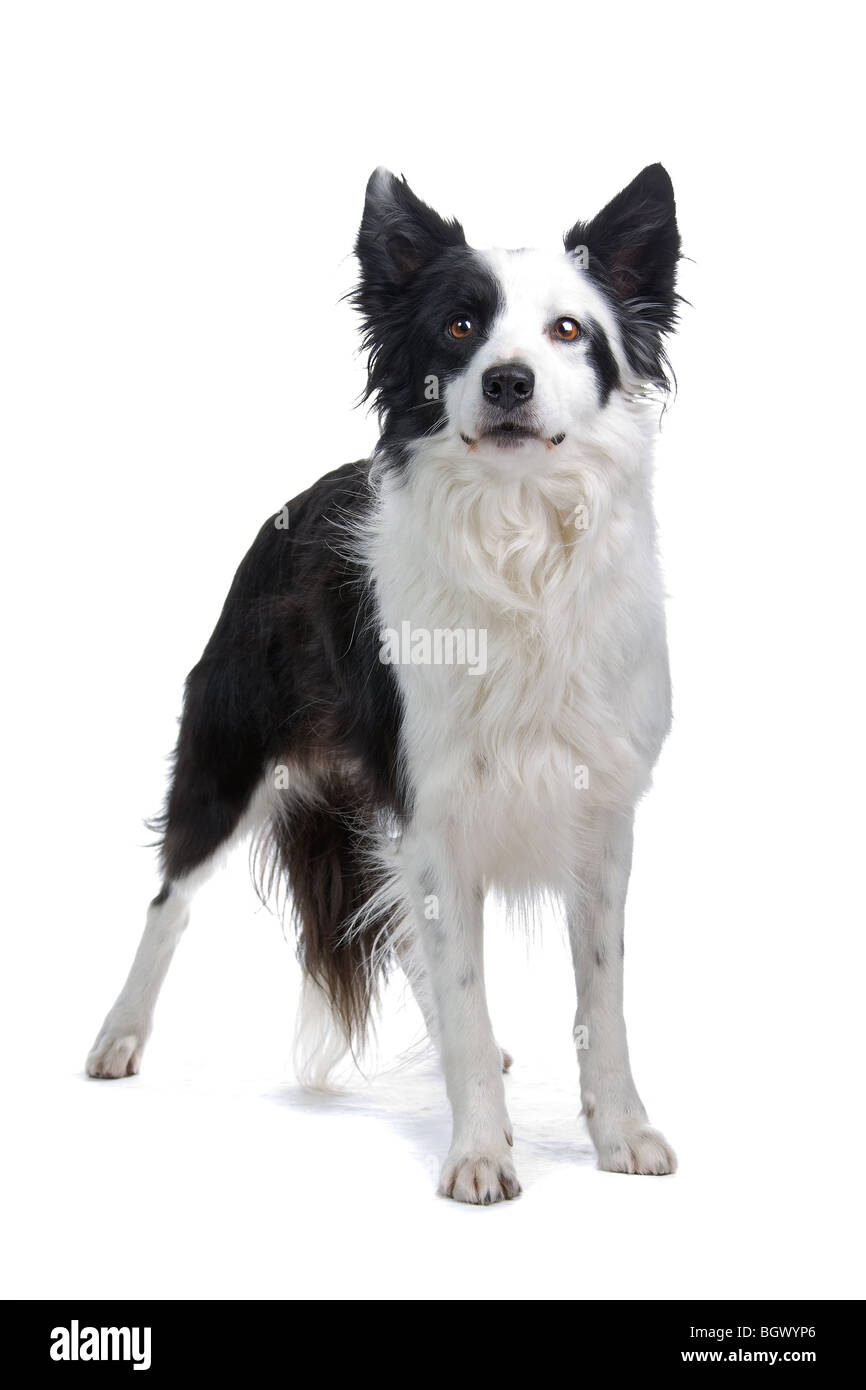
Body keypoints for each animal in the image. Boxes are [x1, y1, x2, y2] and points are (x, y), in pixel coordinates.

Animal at [88, 165, 683, 1206]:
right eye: (460, 325)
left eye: (569, 330)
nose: (508, 380)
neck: (519, 543)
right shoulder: (433, 806)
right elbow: (461, 980)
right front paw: (479, 1151)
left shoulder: (601, 815)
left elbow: (600, 1000)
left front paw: (622, 1133)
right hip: (230, 754)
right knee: (172, 894)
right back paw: (118, 1036)